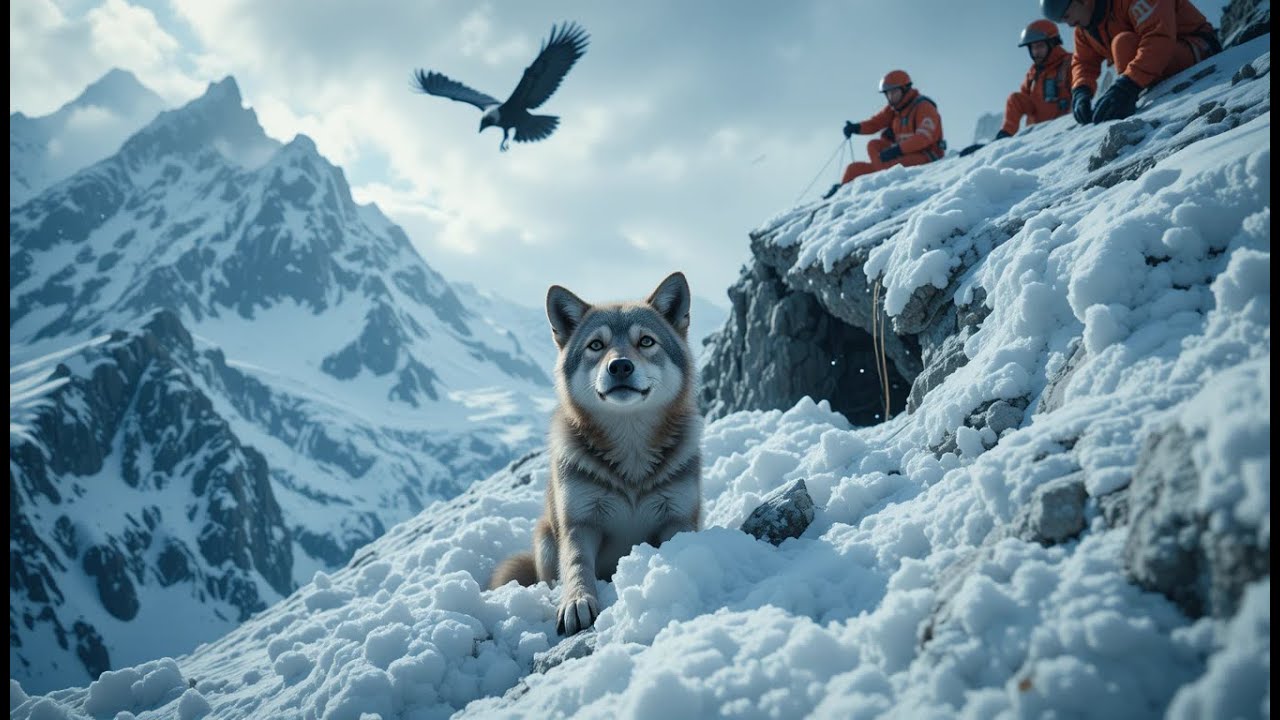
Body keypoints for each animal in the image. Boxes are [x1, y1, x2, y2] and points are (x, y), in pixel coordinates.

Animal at [489, 272, 703, 635]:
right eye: (596, 346)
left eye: (646, 342)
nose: (620, 366)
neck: (631, 451)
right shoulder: (580, 524)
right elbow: (577, 565)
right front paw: (577, 603)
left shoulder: (678, 519)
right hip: (546, 536)